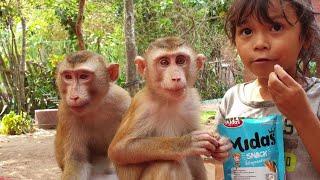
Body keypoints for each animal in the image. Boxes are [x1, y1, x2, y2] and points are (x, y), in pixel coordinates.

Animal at [54, 50, 131, 179]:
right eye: (68, 77)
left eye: (83, 76)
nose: (74, 97)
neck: (95, 108)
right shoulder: (66, 113)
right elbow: (77, 160)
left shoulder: (124, 102)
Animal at [108, 37, 220, 180]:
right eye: (164, 62)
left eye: (180, 60)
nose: (176, 78)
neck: (168, 101)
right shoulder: (142, 106)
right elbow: (119, 150)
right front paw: (186, 143)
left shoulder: (192, 99)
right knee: (167, 164)